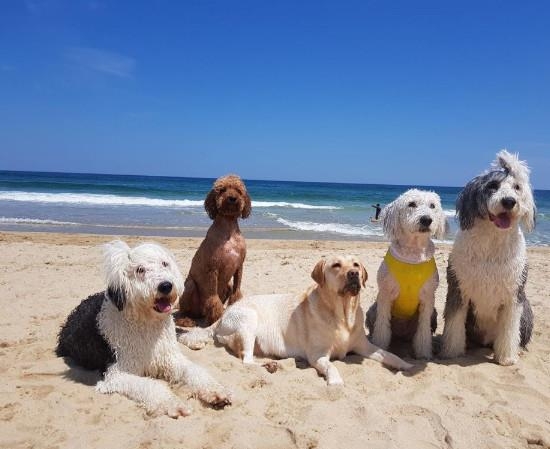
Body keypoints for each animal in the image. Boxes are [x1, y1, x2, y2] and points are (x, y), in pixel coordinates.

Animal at [57, 240, 233, 418]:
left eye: (164, 263)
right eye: (140, 269)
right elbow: (152, 386)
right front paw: (173, 404)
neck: (147, 323)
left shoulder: (170, 358)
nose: (166, 286)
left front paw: (216, 391)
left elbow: (195, 371)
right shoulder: (117, 373)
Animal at [179, 256, 412, 384]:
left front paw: (406, 364)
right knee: (246, 361)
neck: (343, 315)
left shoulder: (364, 346)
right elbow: (332, 367)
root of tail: (221, 317)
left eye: (356, 264)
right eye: (336, 265)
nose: (354, 273)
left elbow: (389, 354)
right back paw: (269, 366)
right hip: (248, 320)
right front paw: (335, 381)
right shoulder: (318, 356)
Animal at [366, 188, 448, 356]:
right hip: (372, 309)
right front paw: (380, 347)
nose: (426, 219)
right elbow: (382, 326)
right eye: (412, 204)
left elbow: (423, 332)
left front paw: (423, 353)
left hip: (434, 313)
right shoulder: (385, 295)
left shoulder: (427, 298)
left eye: (432, 206)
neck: (413, 253)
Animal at [442, 150, 536, 364]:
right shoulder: (459, 288)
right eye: (493, 186)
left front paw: (507, 358)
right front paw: (452, 352)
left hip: (526, 309)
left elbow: (509, 329)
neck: (492, 241)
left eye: (517, 187)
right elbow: (454, 322)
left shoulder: (513, 295)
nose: (509, 201)